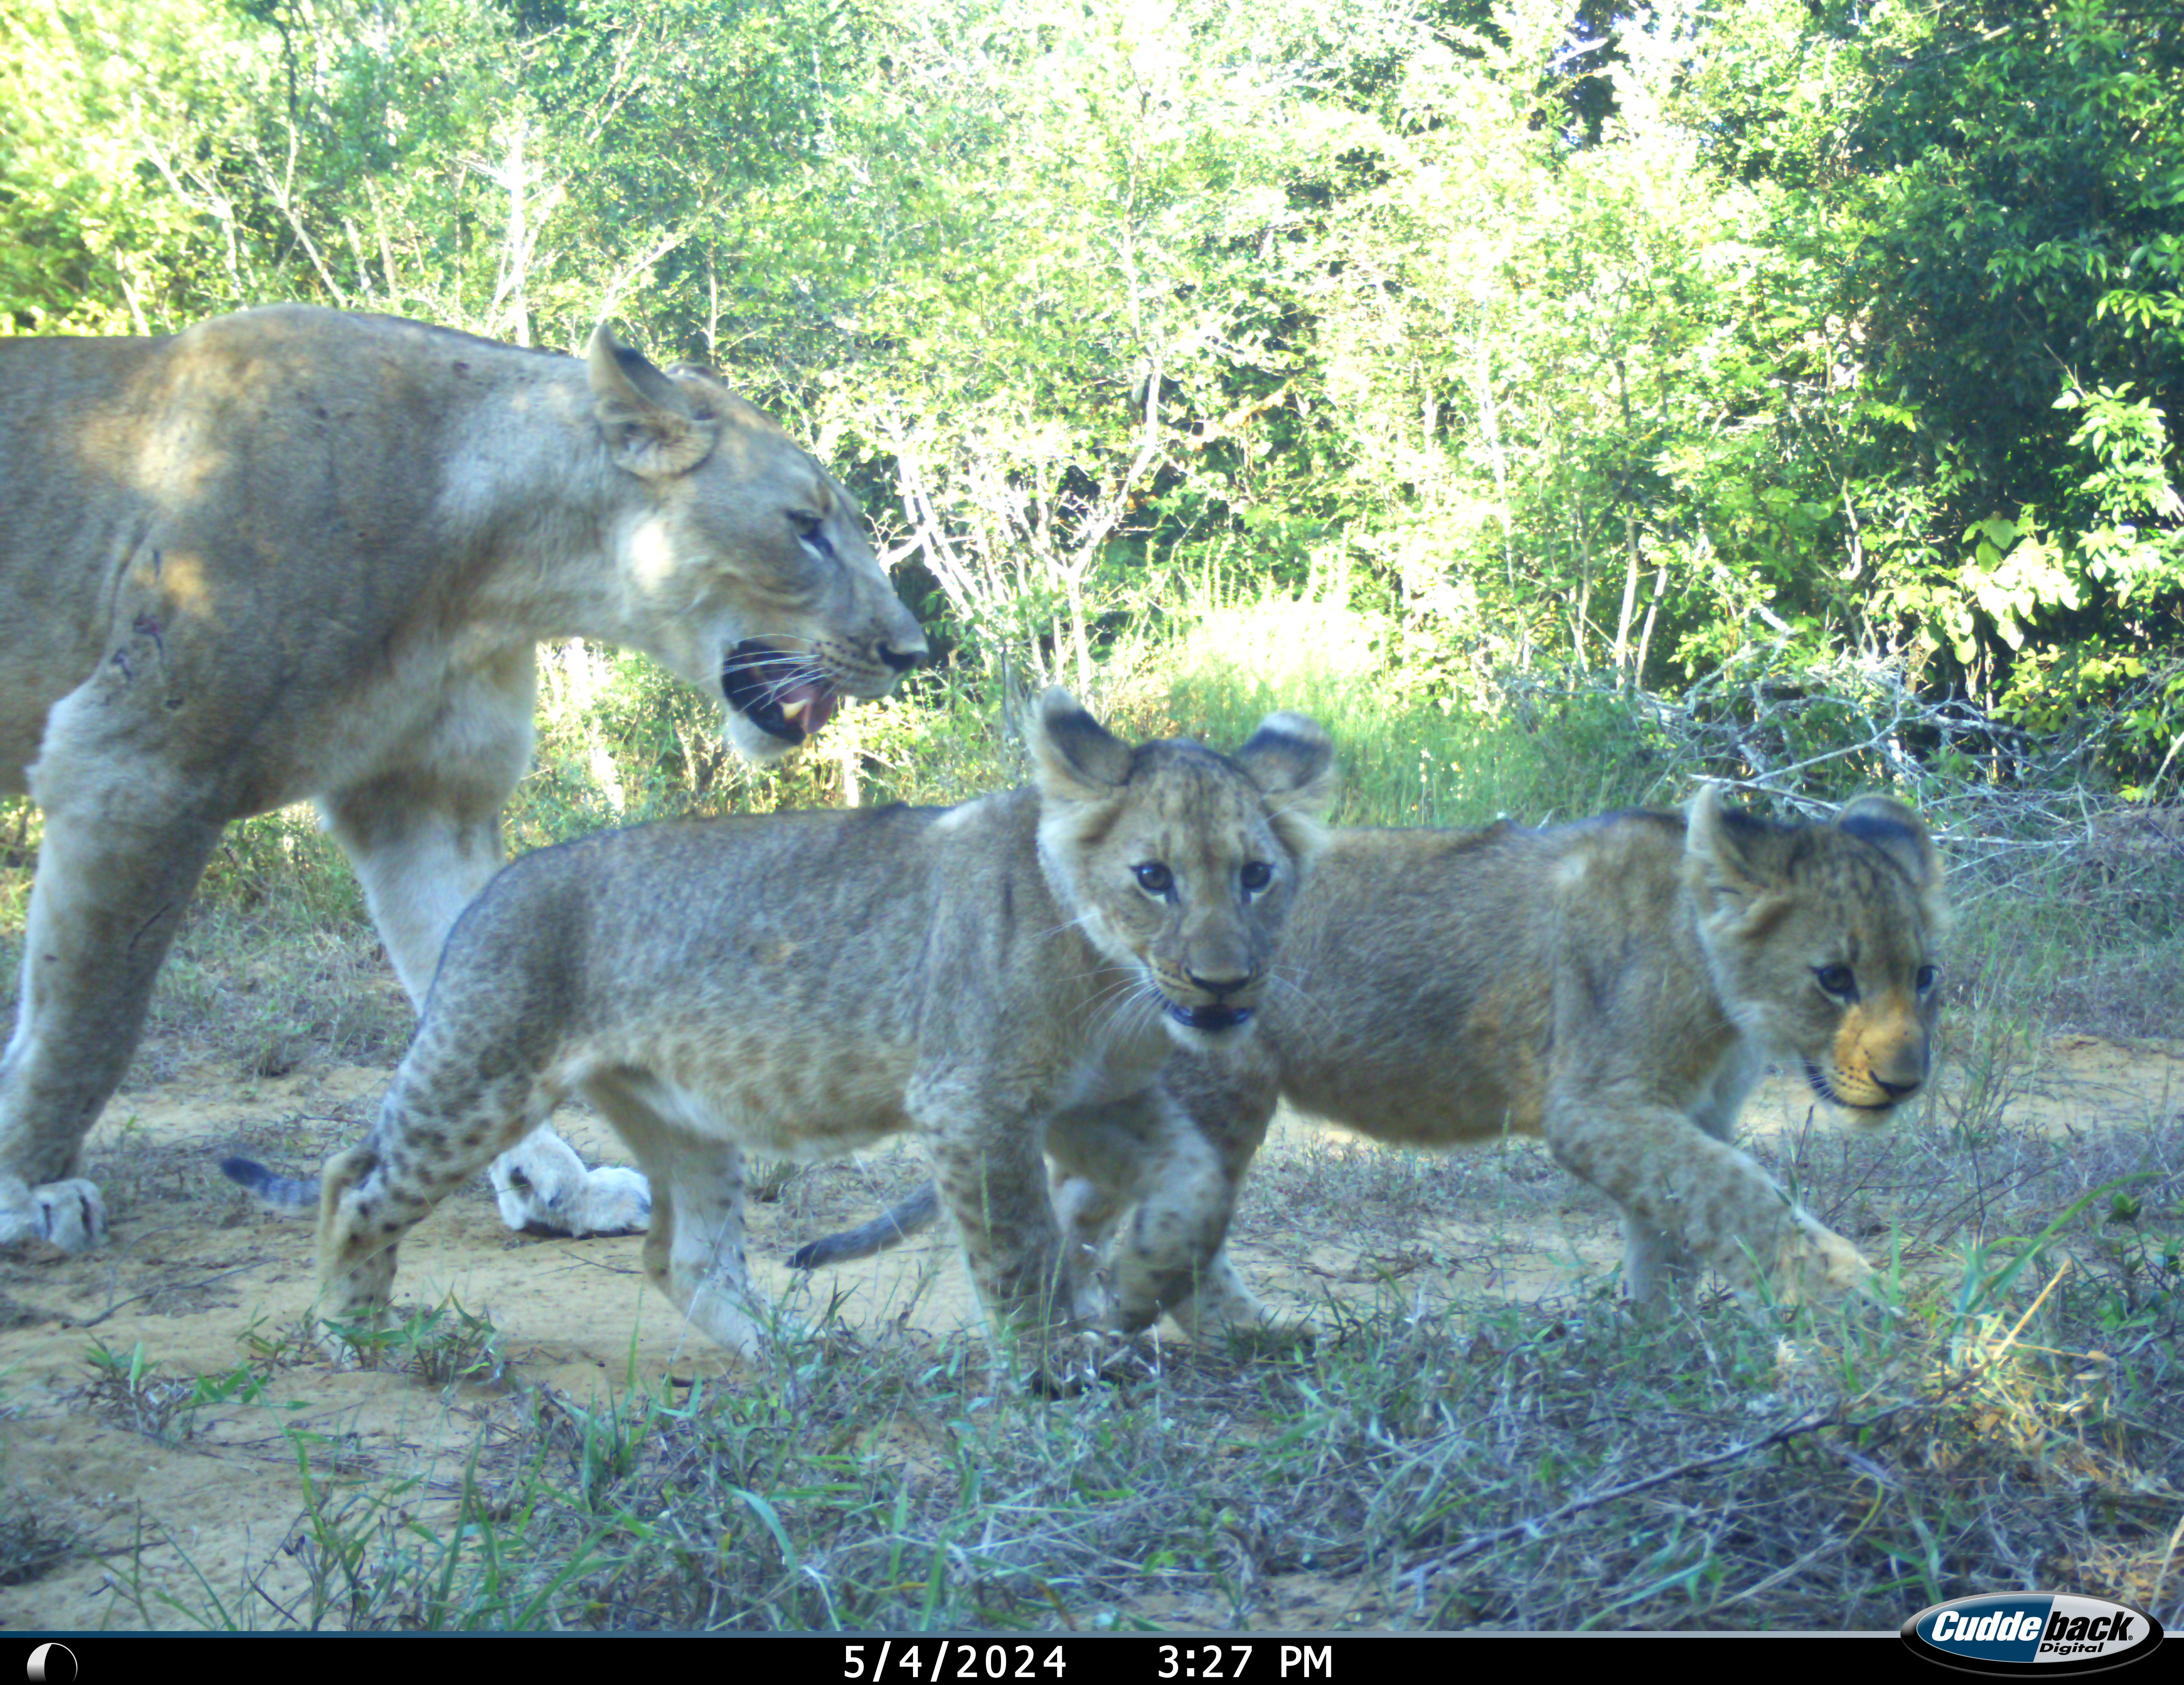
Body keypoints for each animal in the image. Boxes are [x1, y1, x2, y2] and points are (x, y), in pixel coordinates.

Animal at [0, 304, 926, 1254]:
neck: (491, 578)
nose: (913, 651)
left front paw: (555, 1187)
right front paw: (31, 1187)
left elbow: (480, 993)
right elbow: (90, 1014)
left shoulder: (422, 799)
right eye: (804, 526)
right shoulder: (136, 762)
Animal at [220, 690, 1337, 1369]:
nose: (1226, 985)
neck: (1112, 982)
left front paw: (1143, 1290)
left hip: (679, 1116)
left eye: (1255, 875)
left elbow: (1196, 1185)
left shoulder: (1089, 1102)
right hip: (485, 1073)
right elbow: (1018, 1245)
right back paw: (354, 1333)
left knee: (686, 1259)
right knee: (354, 1181)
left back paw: (801, 1353)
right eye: (1153, 876)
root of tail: (490, 892)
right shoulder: (973, 1101)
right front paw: (1046, 1371)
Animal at [792, 789, 1949, 1329]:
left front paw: (1658, 1334)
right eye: (1835, 977)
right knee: (1168, 1228)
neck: (1726, 998)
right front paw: (1852, 1300)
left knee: (1084, 1204)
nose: (1906, 1079)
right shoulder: (1599, 1106)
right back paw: (1243, 1335)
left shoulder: (1684, 1113)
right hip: (1223, 1087)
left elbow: (1676, 1222)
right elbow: (1741, 1199)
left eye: (1924, 975)